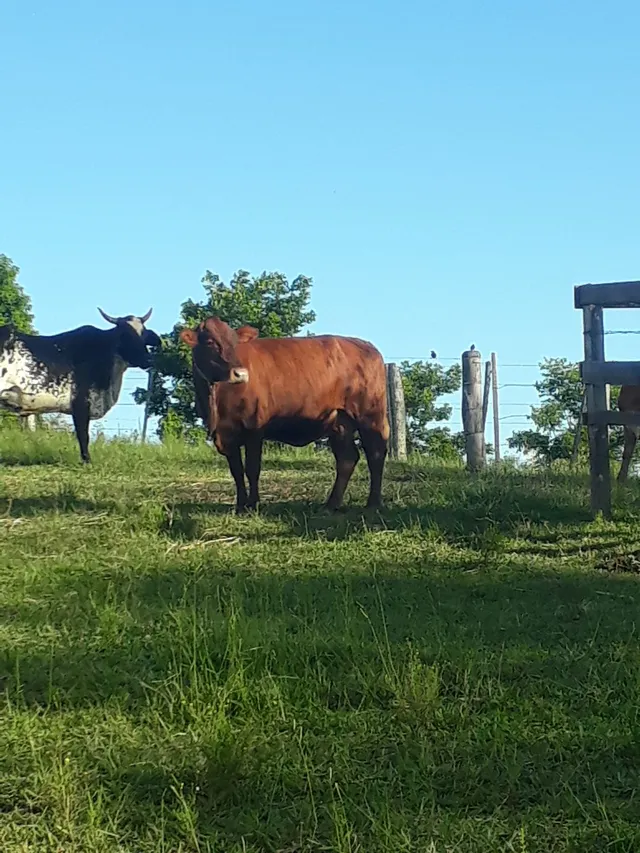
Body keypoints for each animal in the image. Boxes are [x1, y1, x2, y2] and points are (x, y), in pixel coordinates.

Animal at [0, 308, 161, 463]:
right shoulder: (81, 404)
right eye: (124, 335)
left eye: (144, 334)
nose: (148, 359)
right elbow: (83, 435)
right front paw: (87, 460)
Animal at [179, 317, 389, 513]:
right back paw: (331, 505)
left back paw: (372, 503)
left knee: (375, 453)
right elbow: (237, 471)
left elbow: (252, 468)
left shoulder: (254, 427)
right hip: (340, 421)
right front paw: (240, 506)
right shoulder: (226, 434)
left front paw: (253, 505)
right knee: (347, 459)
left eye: (235, 342)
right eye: (210, 342)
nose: (240, 374)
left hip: (370, 415)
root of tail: (367, 346)